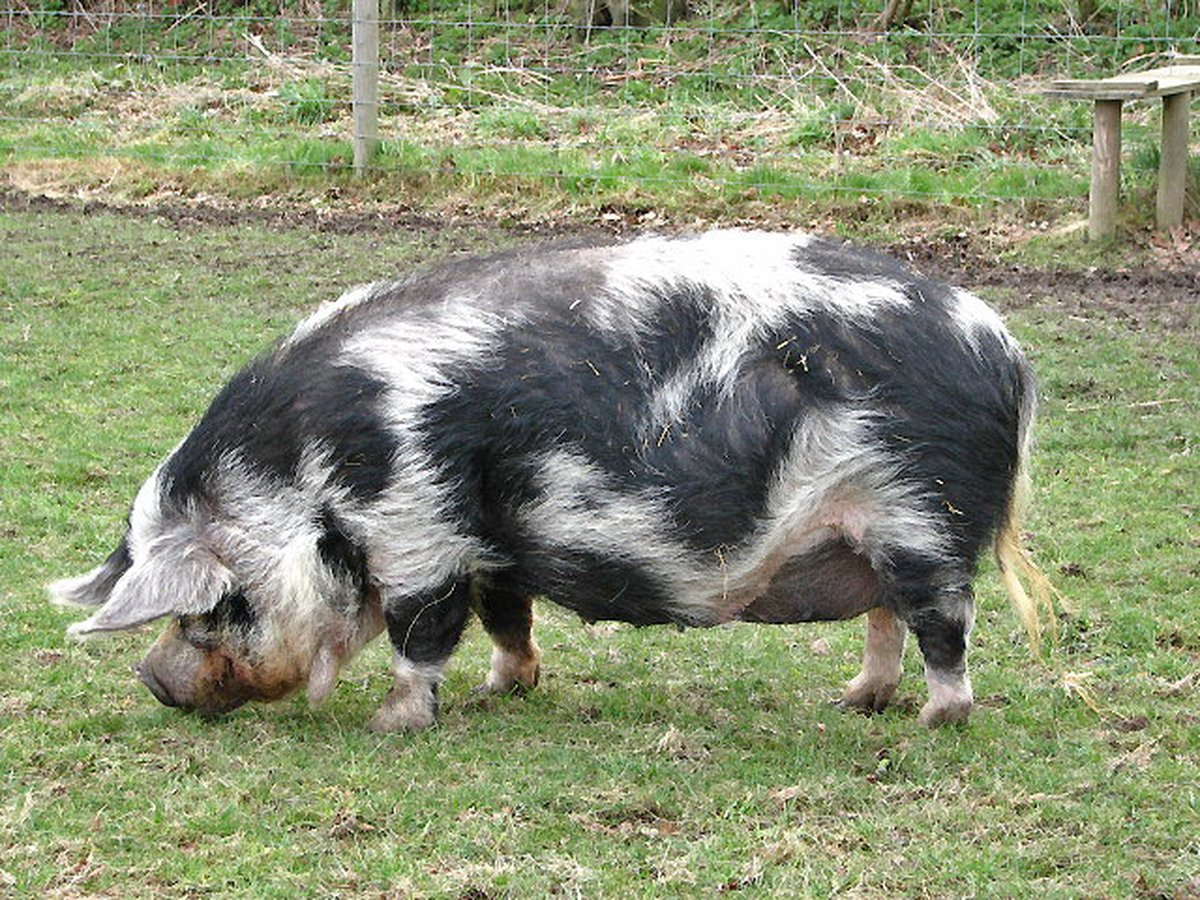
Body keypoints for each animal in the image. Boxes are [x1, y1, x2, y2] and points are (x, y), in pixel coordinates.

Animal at [50, 230, 1053, 731]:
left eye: (213, 606)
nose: (153, 679)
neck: (309, 480)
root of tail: (1004, 347)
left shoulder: (418, 524)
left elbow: (422, 630)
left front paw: (393, 724)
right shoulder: (493, 544)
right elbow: (506, 617)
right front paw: (503, 692)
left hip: (923, 513)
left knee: (942, 624)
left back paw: (933, 721)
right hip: (873, 529)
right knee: (886, 618)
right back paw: (851, 702)